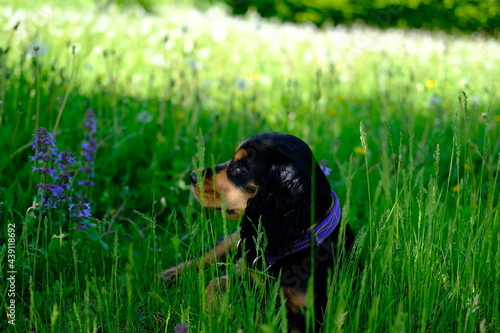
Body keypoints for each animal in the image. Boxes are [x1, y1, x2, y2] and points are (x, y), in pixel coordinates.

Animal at [162, 133, 354, 332]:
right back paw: (169, 275)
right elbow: (216, 282)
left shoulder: (309, 316)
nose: (192, 176)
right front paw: (210, 319)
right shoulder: (246, 272)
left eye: (240, 168)